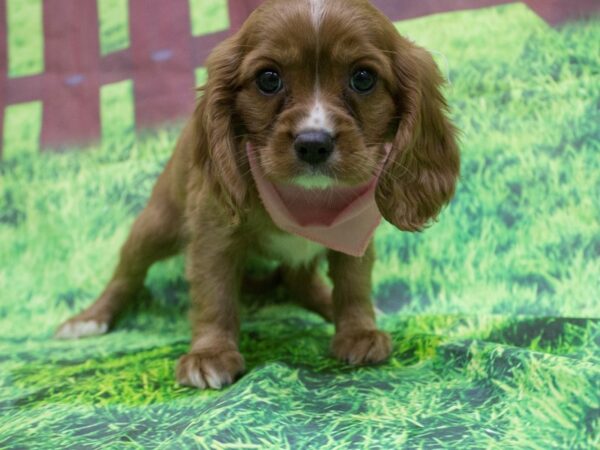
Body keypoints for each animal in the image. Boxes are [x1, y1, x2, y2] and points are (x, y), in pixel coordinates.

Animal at [56, 0, 460, 390]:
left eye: (363, 78)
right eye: (268, 79)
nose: (313, 144)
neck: (309, 201)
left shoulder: (355, 235)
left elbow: (353, 283)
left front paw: (358, 331)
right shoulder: (213, 233)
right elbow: (215, 294)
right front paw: (210, 355)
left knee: (300, 281)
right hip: (155, 225)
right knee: (127, 273)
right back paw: (89, 319)